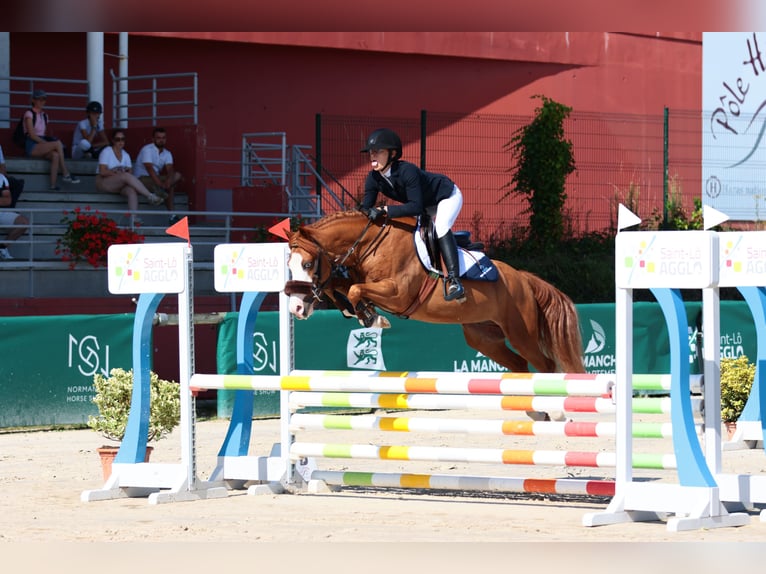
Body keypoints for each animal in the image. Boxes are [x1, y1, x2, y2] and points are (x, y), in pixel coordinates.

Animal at [284, 212, 584, 378]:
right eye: (289, 265)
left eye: (308, 264)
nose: (295, 309)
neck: (370, 244)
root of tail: (523, 278)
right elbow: (343, 285)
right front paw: (359, 312)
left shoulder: (398, 293)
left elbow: (356, 289)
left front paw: (372, 318)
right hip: (483, 337)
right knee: (519, 364)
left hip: (521, 332)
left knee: (545, 364)